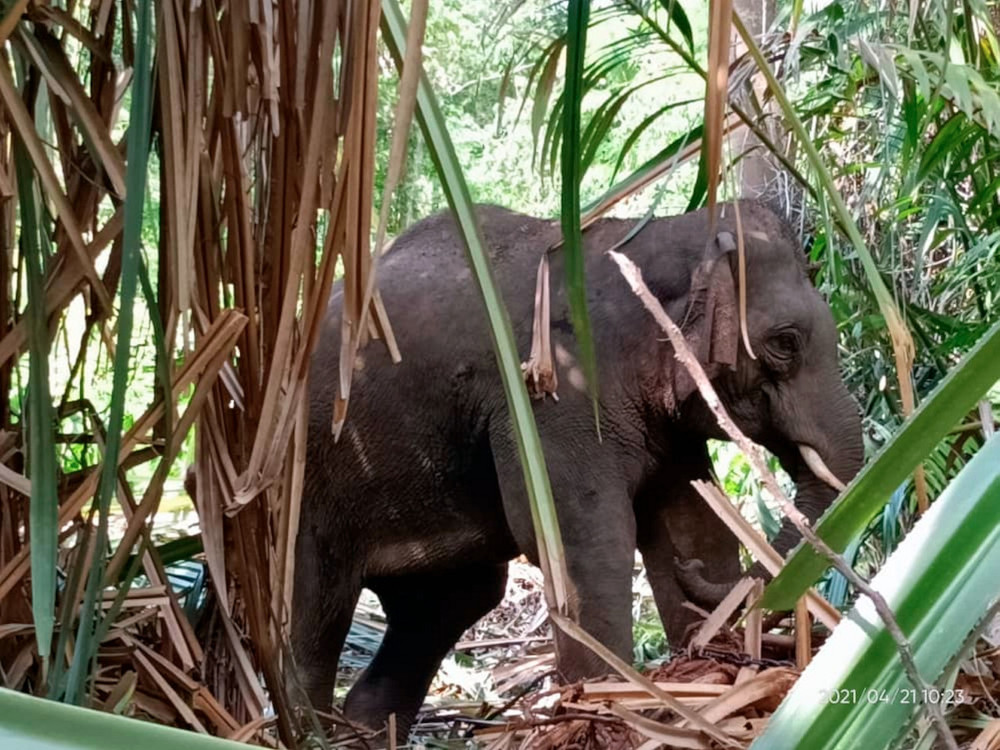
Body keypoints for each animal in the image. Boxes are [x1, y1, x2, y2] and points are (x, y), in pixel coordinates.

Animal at [294, 200, 864, 738]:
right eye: (785, 342)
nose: (697, 577)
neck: (656, 234)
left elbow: (690, 525)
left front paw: (703, 672)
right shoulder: (550, 394)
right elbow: (585, 538)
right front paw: (604, 707)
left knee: (451, 602)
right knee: (316, 609)